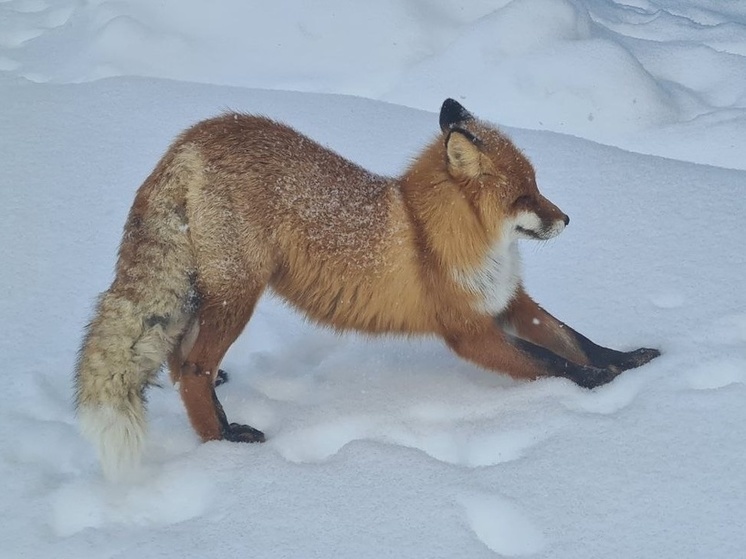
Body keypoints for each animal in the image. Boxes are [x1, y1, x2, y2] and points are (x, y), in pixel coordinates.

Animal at [75, 100, 656, 482]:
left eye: (538, 187)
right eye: (525, 195)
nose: (566, 219)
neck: (437, 233)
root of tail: (192, 138)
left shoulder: (510, 301)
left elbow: (577, 340)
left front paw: (631, 360)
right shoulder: (470, 332)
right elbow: (553, 361)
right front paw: (599, 384)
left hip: (211, 295)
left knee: (179, 356)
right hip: (239, 294)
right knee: (191, 367)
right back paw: (224, 443)